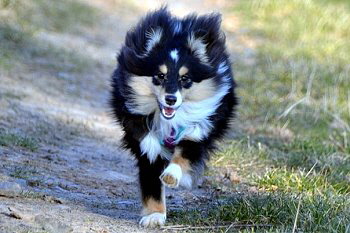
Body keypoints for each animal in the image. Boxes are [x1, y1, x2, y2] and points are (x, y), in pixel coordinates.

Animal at [110, 7, 238, 228]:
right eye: (160, 75)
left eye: (185, 78)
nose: (170, 99)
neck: (169, 119)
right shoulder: (132, 120)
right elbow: (151, 175)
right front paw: (154, 216)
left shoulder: (202, 129)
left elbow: (186, 150)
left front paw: (171, 175)